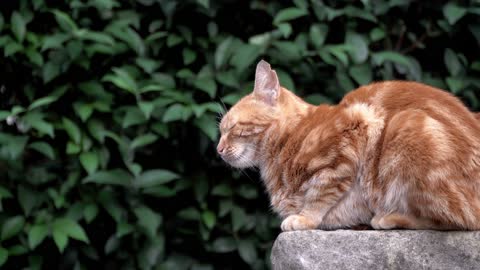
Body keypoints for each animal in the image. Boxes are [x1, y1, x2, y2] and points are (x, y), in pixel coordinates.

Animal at [218, 60, 480, 231]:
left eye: (231, 128)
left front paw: (305, 218)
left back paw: (391, 217)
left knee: (458, 219)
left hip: (406, 128)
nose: (218, 149)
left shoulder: (355, 128)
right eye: (220, 131)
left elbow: (319, 193)